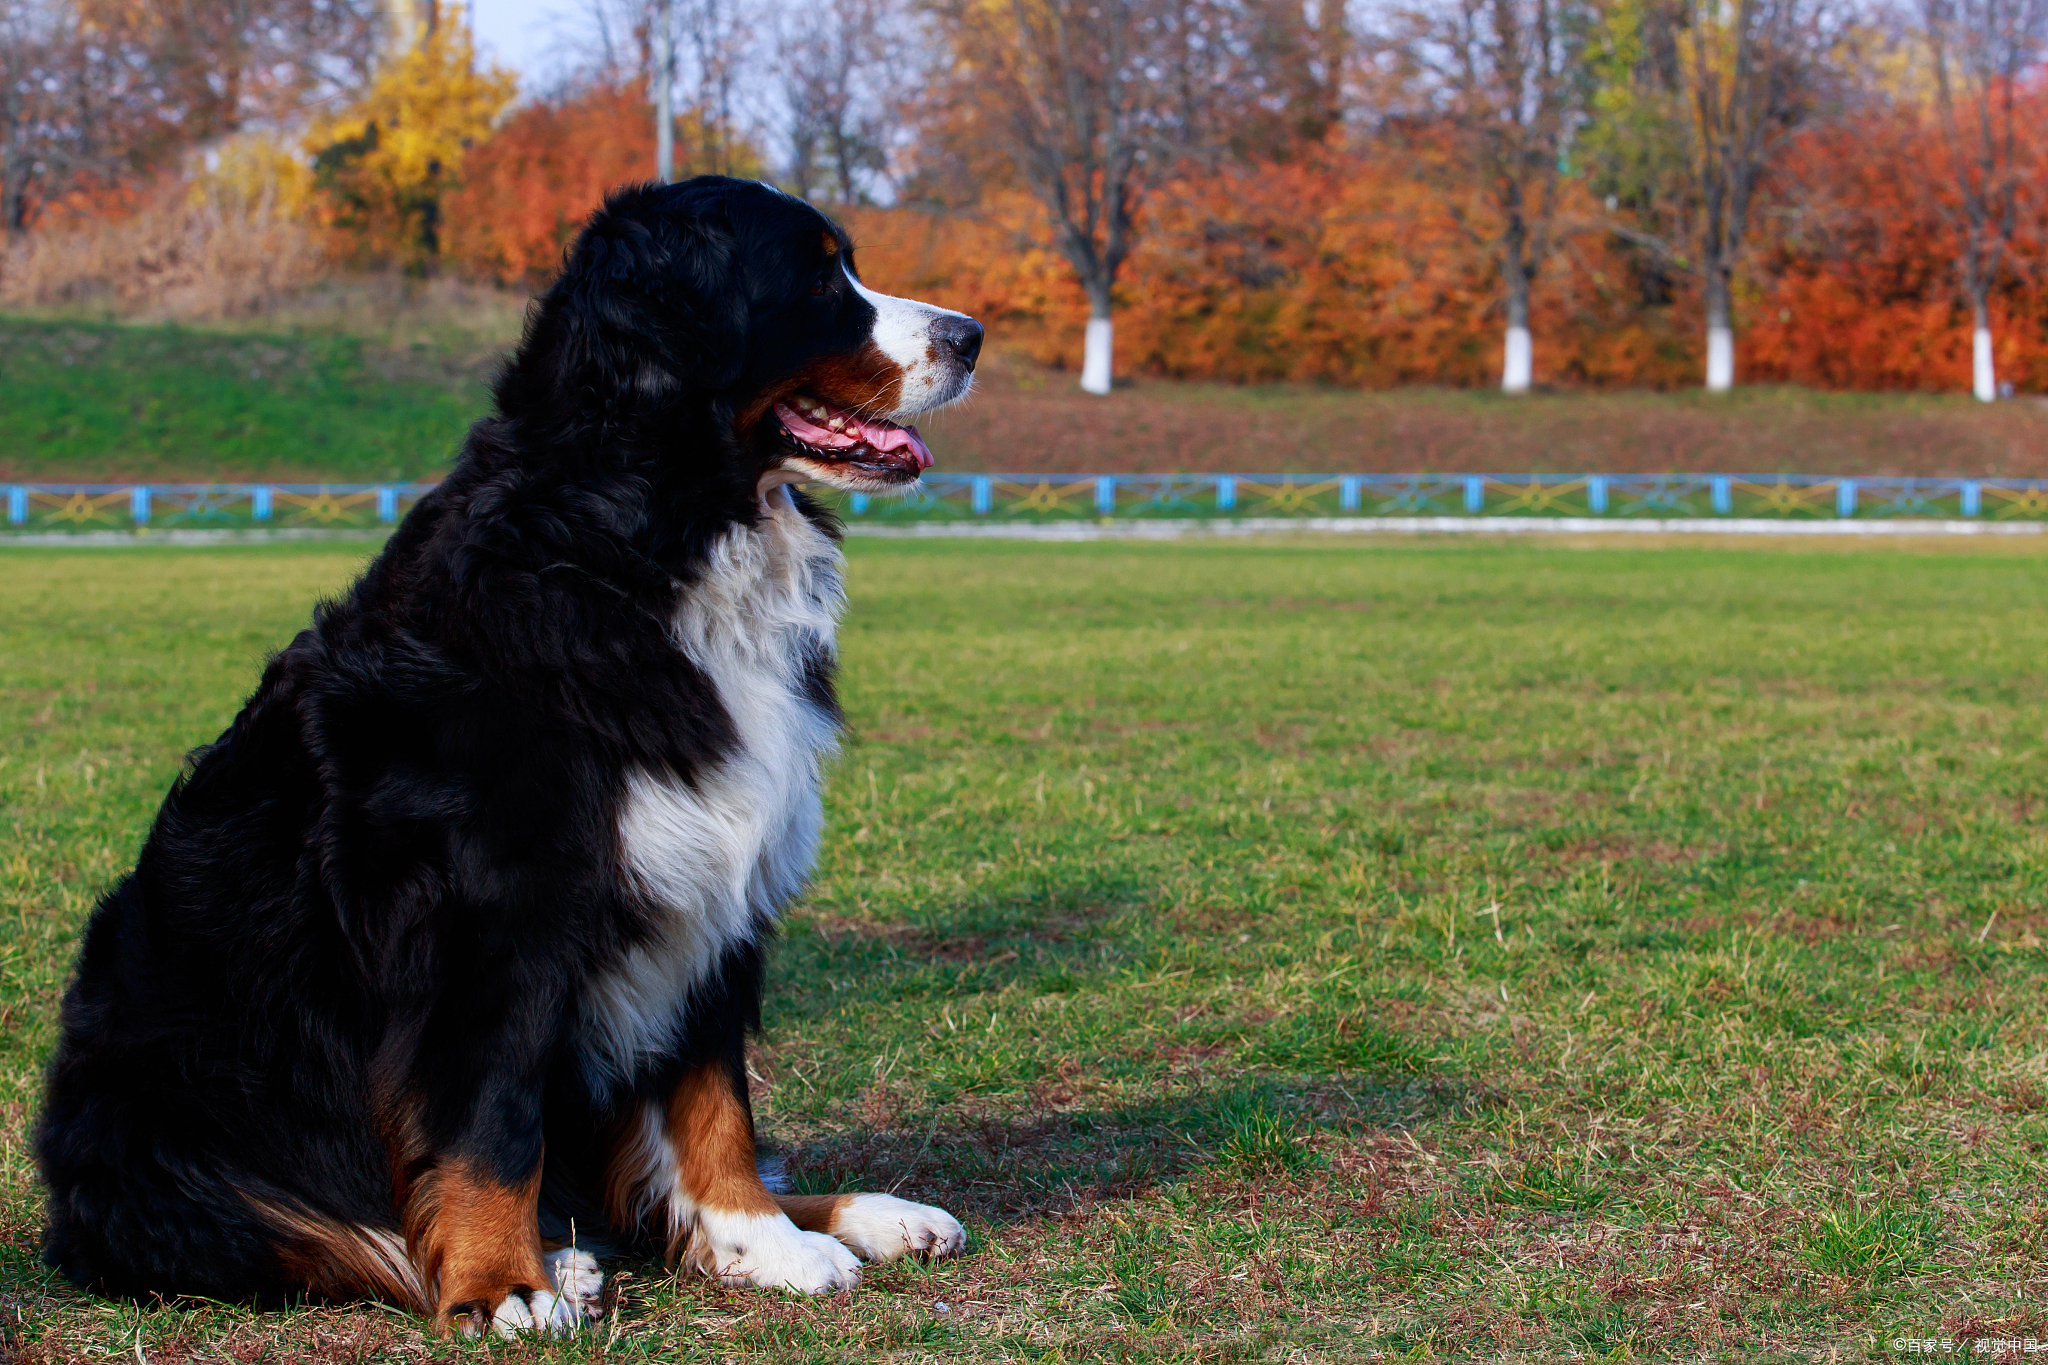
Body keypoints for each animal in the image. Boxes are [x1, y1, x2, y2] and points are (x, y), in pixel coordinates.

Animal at [32, 175, 987, 1342]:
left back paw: (866, 1217)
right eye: (815, 279)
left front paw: (759, 1241)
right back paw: (542, 1261)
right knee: (327, 1229)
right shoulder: (490, 920)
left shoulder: (716, 889)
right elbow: (488, 1124)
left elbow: (715, 1104)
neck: (639, 544)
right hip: (163, 1112)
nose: (971, 334)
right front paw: (501, 1283)